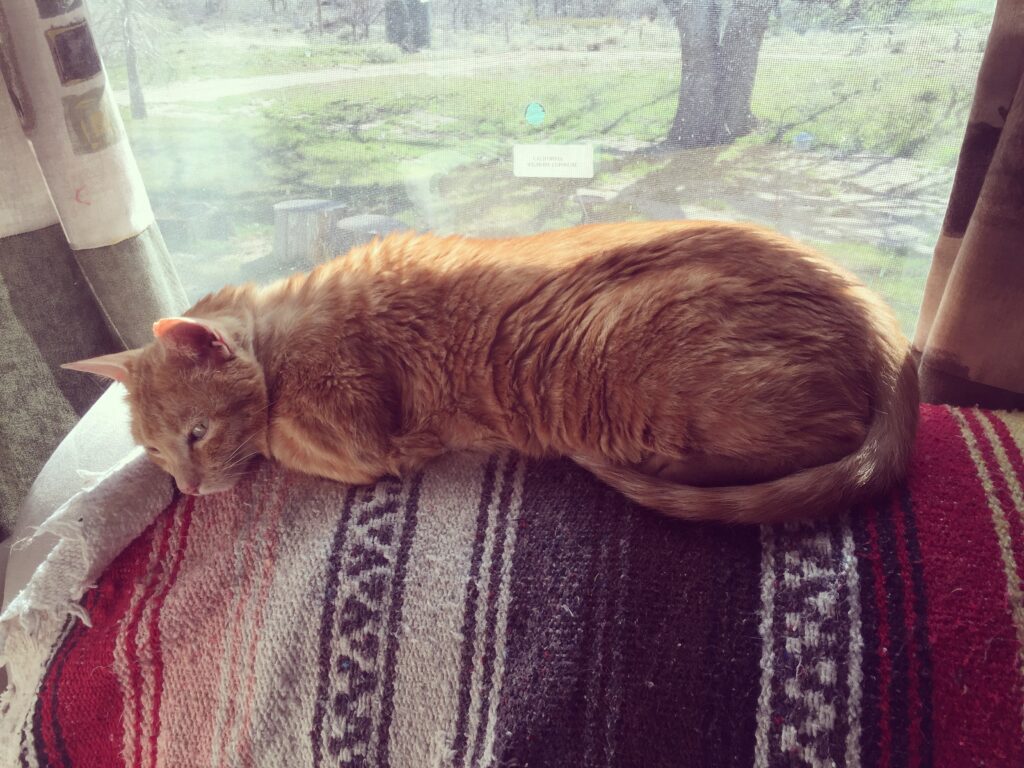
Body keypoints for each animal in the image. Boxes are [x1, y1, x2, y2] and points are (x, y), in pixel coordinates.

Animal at [66, 219, 921, 528]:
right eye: (153, 450)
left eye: (196, 434)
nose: (184, 488)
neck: (286, 334)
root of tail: (886, 330)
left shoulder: (357, 443)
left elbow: (289, 442)